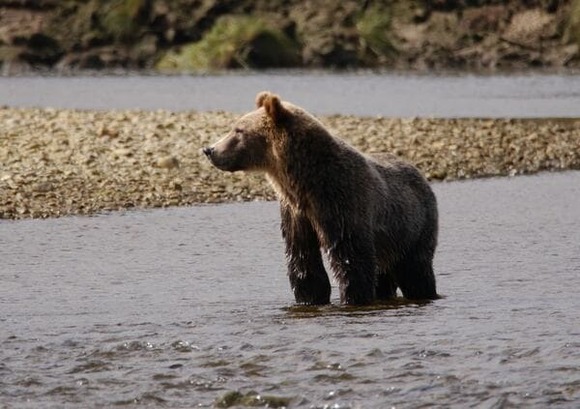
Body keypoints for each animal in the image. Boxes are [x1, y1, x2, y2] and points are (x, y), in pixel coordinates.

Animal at [204, 91, 440, 302]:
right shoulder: (296, 212)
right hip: (389, 241)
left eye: (238, 130)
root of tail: (420, 174)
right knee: (384, 275)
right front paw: (310, 296)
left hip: (414, 229)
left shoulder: (341, 202)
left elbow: (351, 260)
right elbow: (302, 260)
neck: (305, 182)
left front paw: (353, 297)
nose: (209, 149)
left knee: (415, 272)